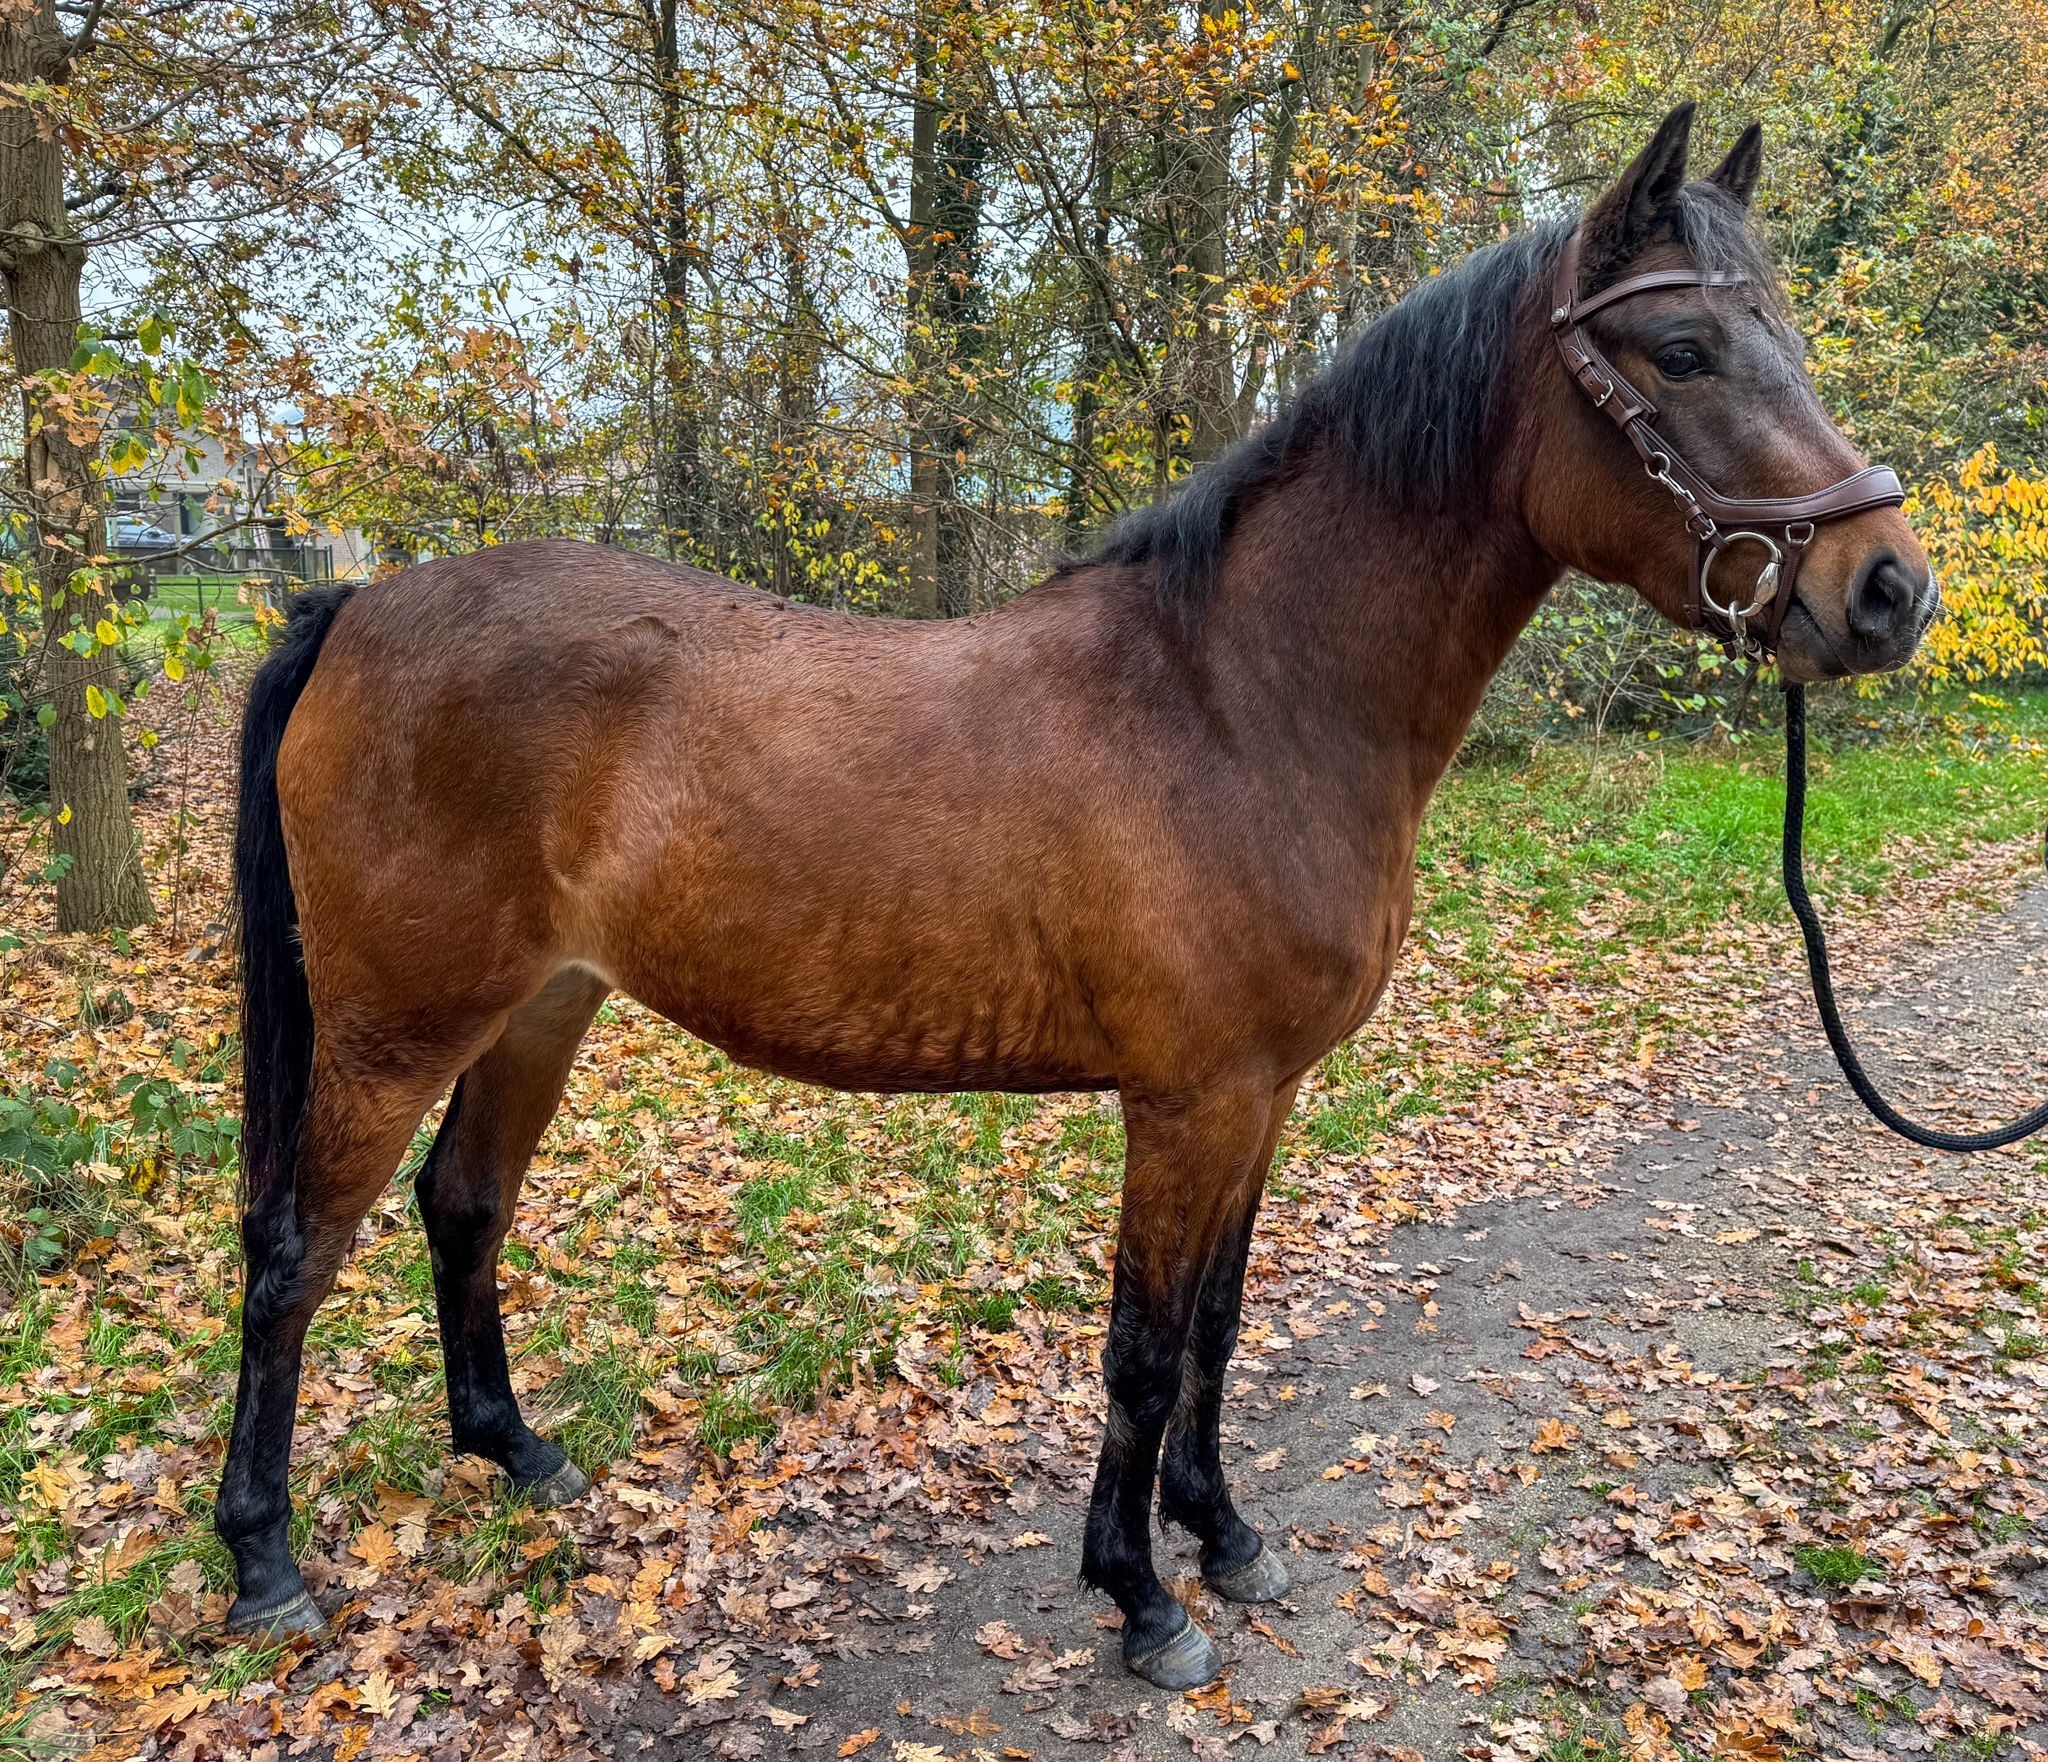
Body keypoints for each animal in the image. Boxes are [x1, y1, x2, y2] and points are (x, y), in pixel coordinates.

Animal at [215, 104, 1935, 1689]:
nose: (1888, 589)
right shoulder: (1187, 1099)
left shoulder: (1264, 1095)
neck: (1241, 698)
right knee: (296, 1247)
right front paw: (1141, 1597)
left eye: (1783, 329)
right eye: (1684, 347)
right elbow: (1143, 1347)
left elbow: (1220, 1329)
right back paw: (265, 1565)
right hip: (394, 1027)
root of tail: (355, 603)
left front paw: (1225, 1537)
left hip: (539, 1006)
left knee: (462, 1203)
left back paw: (517, 1451)